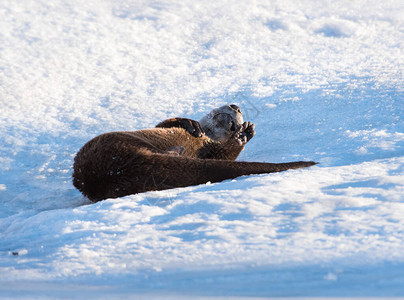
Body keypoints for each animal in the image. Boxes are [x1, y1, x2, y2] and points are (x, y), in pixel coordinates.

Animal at [73, 105, 318, 202]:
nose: (236, 107)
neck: (204, 137)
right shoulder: (167, 127)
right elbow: (169, 121)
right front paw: (191, 123)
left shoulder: (208, 150)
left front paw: (245, 131)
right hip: (118, 143)